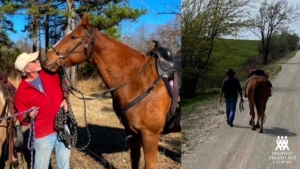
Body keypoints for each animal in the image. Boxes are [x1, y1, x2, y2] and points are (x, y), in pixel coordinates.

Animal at [42, 12, 178, 168]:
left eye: (74, 37)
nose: (45, 59)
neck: (139, 81)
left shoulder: (150, 135)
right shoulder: (133, 133)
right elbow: (134, 160)